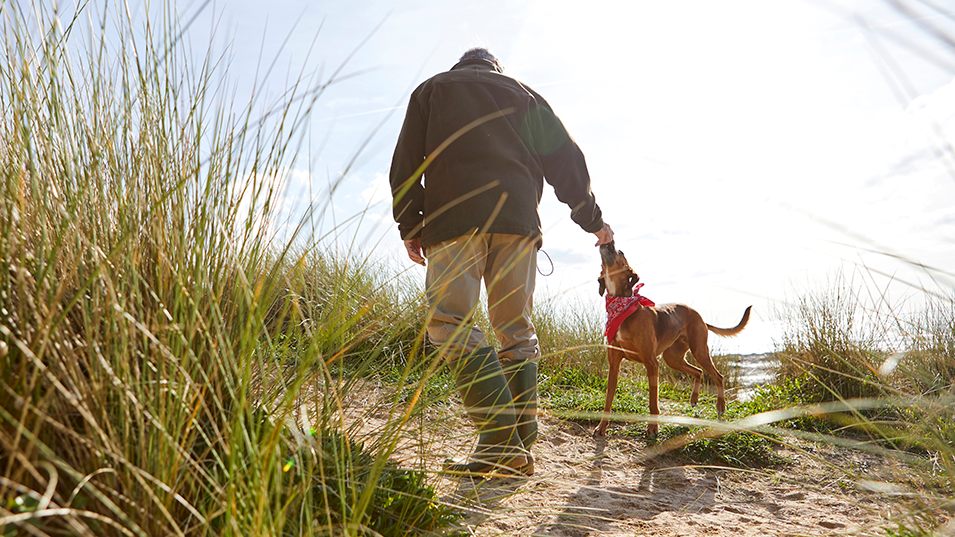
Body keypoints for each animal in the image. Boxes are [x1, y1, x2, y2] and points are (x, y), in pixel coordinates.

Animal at [592, 242, 752, 436]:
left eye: (620, 253)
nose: (609, 243)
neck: (623, 308)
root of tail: (698, 315)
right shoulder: (614, 364)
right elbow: (608, 400)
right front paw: (602, 426)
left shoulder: (652, 363)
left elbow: (653, 402)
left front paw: (653, 427)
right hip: (673, 358)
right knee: (698, 372)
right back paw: (694, 398)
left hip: (699, 351)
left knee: (718, 376)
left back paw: (720, 407)